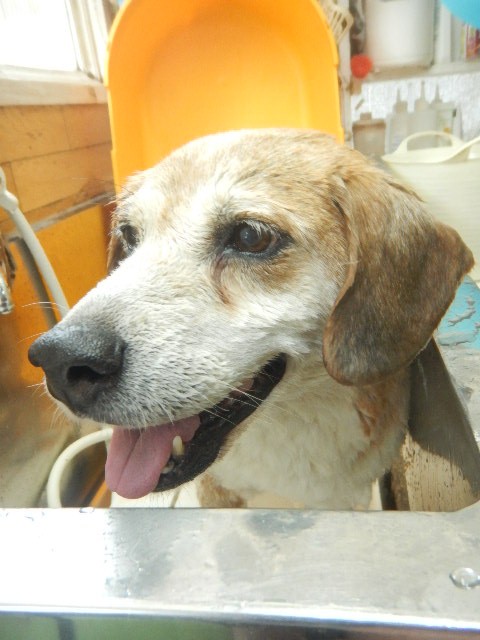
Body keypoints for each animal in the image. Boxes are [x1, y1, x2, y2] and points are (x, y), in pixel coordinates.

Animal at [28, 129, 474, 509]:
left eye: (250, 237)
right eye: (128, 235)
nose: (58, 360)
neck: (286, 425)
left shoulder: (344, 499)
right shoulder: (217, 489)